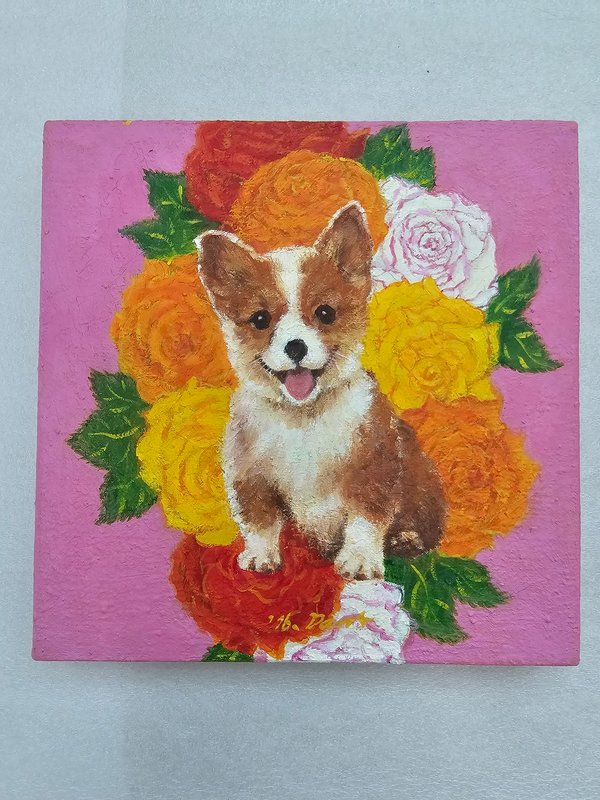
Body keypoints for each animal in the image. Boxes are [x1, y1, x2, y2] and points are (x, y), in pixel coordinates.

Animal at [195, 202, 445, 580]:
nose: (295, 346)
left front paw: (359, 560)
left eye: (325, 313)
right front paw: (260, 556)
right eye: (260, 319)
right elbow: (259, 521)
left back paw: (406, 539)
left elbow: (365, 520)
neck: (303, 419)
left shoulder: (374, 469)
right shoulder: (251, 476)